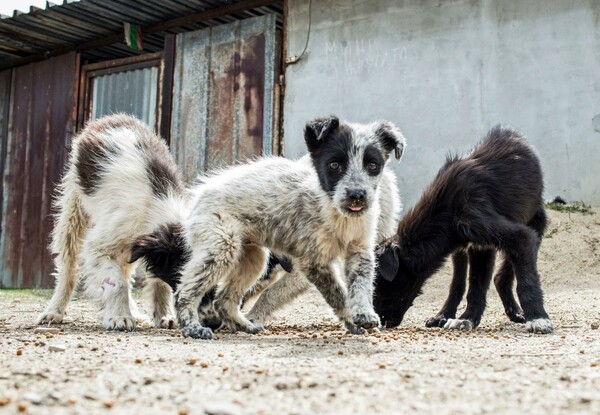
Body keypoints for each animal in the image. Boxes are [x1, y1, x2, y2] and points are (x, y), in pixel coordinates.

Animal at [38, 114, 188, 332]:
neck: (160, 208)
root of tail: (111, 118)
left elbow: (156, 280)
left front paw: (164, 315)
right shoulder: (99, 246)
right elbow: (117, 282)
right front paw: (119, 317)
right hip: (74, 207)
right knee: (69, 266)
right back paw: (54, 311)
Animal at [376, 127, 552, 334]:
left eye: (376, 285)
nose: (379, 321)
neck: (447, 210)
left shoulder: (517, 236)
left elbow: (526, 281)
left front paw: (538, 318)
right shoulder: (479, 246)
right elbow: (474, 284)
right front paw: (467, 318)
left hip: (535, 225)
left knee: (502, 277)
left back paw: (516, 312)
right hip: (465, 250)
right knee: (459, 283)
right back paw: (443, 315)